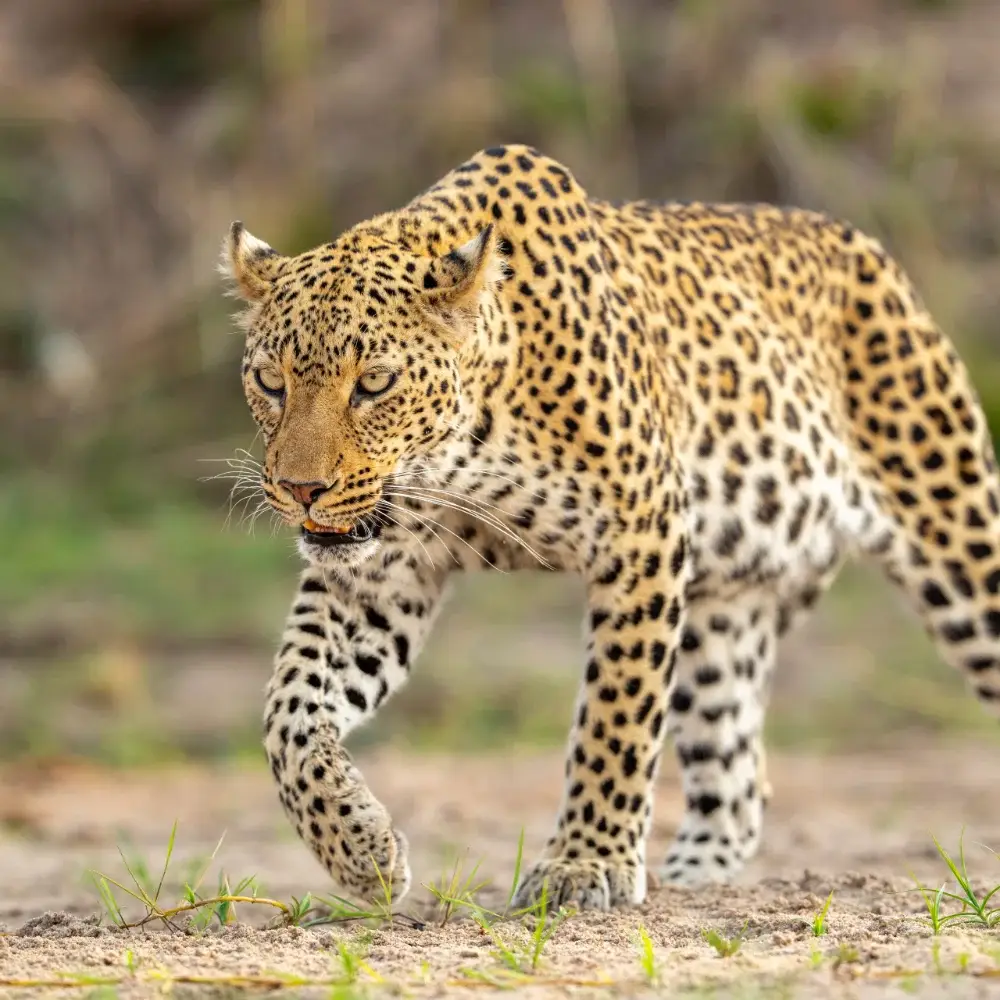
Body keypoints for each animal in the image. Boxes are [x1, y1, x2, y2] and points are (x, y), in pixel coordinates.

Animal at [221, 144, 1000, 912]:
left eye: (374, 384)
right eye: (270, 382)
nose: (301, 490)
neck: (467, 444)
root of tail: (861, 243)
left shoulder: (643, 529)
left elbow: (616, 713)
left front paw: (583, 863)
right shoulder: (384, 571)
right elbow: (289, 708)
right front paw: (361, 853)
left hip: (956, 528)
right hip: (721, 612)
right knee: (739, 774)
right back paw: (691, 878)